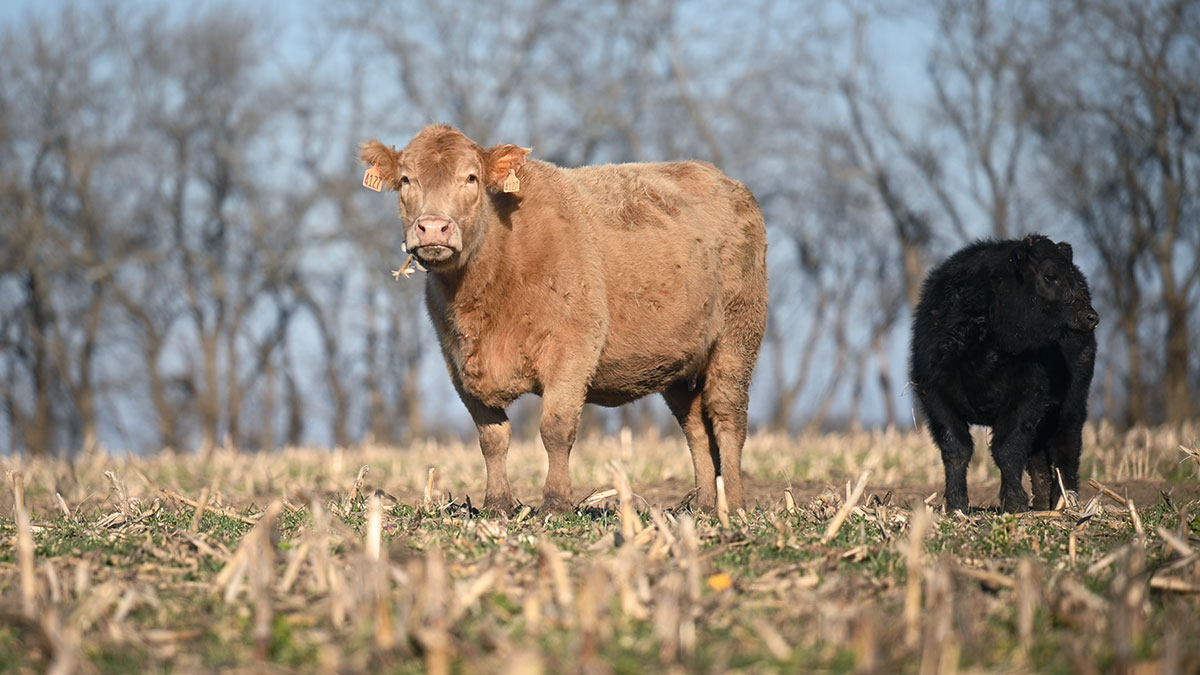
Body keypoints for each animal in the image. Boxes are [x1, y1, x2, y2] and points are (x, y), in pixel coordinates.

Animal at [360, 125, 768, 513]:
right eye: (406, 180)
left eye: (471, 178)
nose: (432, 227)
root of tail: (723, 181)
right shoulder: (457, 362)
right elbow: (492, 437)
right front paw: (497, 504)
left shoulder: (572, 348)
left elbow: (555, 428)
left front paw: (556, 503)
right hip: (681, 365)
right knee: (695, 428)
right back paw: (704, 505)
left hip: (737, 337)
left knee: (727, 418)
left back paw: (733, 503)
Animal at [910, 234, 1098, 513]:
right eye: (1050, 275)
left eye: (1071, 276)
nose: (1091, 316)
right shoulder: (935, 393)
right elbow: (956, 449)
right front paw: (956, 505)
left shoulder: (1027, 394)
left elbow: (1007, 449)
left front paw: (1015, 503)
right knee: (1038, 457)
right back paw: (1041, 504)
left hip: (1072, 401)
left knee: (1066, 445)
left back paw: (1064, 501)